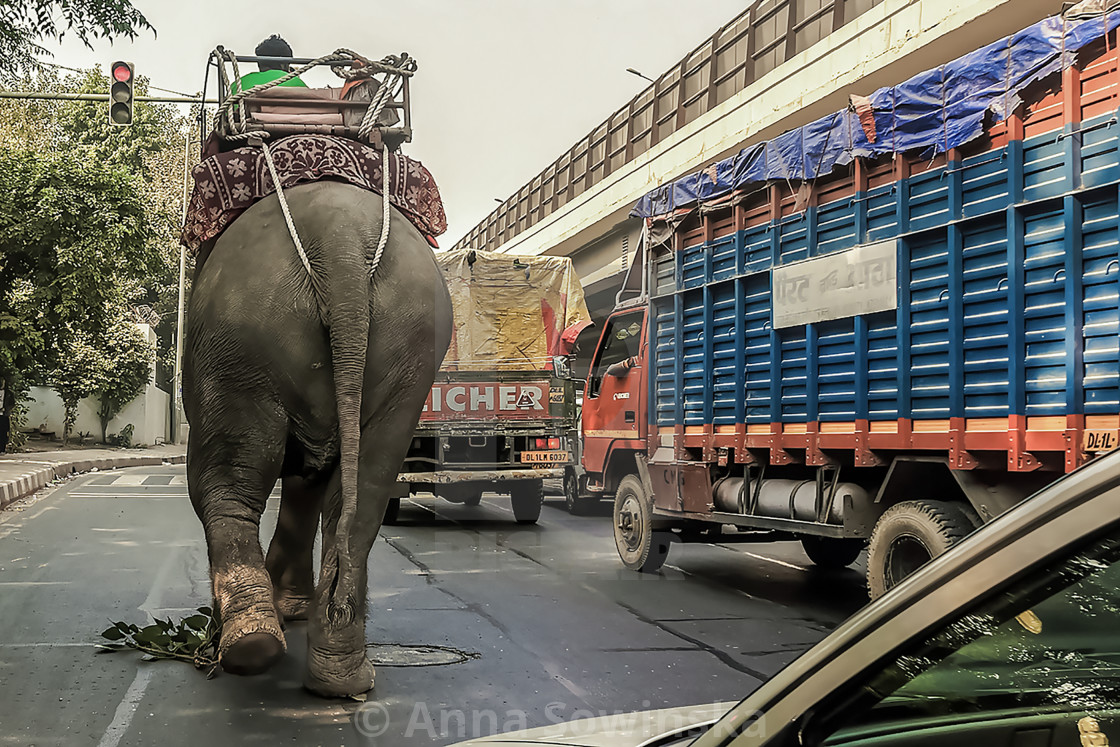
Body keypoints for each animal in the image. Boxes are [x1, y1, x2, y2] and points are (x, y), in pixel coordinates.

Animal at [181, 178, 448, 698]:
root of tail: (339, 239)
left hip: (238, 342)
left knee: (226, 482)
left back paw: (247, 644)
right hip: (409, 350)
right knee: (364, 491)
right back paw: (340, 676)